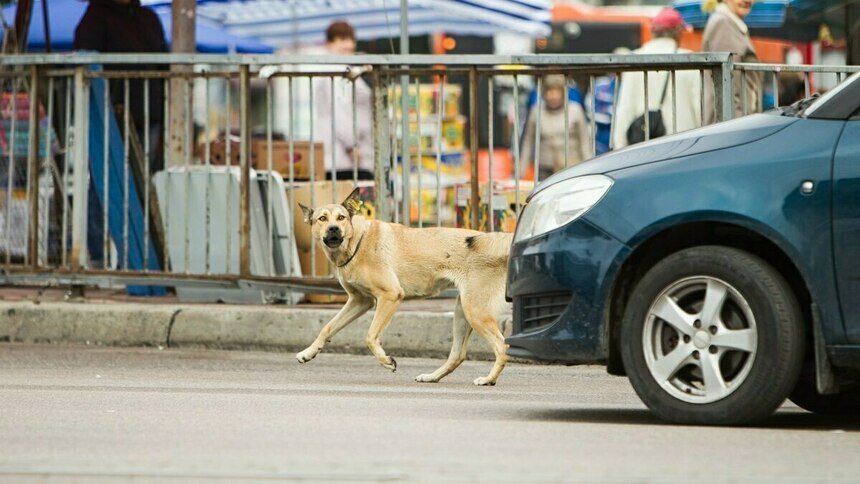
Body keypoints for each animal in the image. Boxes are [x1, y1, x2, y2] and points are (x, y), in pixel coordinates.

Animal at [296, 187, 510, 384]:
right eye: (322, 219)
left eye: (341, 218)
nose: (333, 229)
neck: (358, 241)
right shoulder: (360, 301)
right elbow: (328, 328)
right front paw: (308, 352)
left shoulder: (390, 296)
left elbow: (370, 337)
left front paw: (386, 360)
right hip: (462, 312)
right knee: (458, 355)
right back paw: (432, 377)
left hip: (475, 312)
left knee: (502, 347)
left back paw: (489, 379)